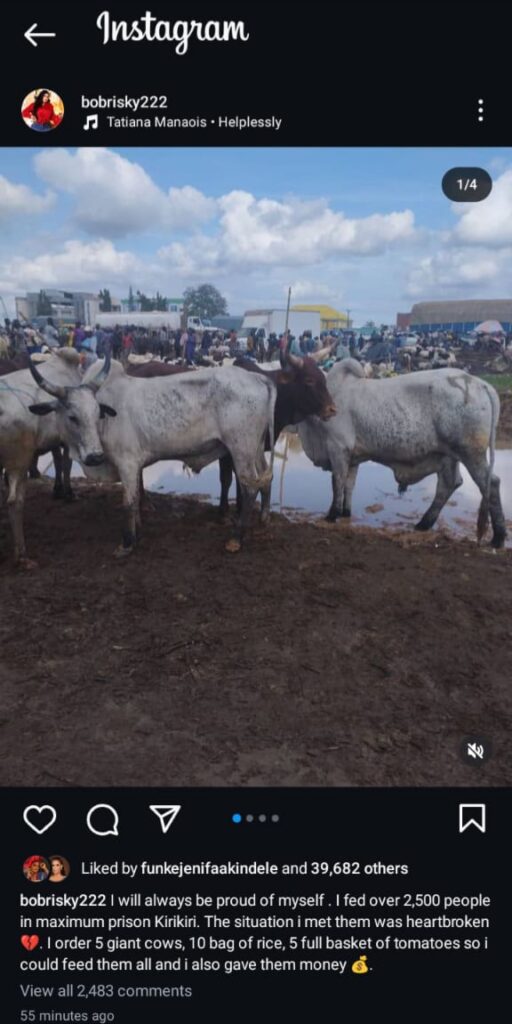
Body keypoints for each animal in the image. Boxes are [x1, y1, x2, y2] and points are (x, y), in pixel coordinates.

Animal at [0, 349, 113, 566]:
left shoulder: (54, 442)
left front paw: (58, 490)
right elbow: (66, 464)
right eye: (72, 417)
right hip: (19, 462)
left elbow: (59, 463)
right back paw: (22, 554)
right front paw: (67, 492)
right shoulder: (66, 442)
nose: (96, 457)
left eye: (97, 415)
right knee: (14, 502)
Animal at [49, 358, 277, 555]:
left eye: (97, 413)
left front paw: (127, 543)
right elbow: (136, 498)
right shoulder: (134, 464)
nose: (94, 456)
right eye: (72, 417)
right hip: (256, 448)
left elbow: (128, 502)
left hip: (241, 448)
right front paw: (138, 531)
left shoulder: (127, 462)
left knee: (250, 488)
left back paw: (236, 538)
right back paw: (263, 519)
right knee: (265, 478)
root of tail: (257, 378)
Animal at [218, 345, 337, 521]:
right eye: (309, 380)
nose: (332, 409)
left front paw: (248, 510)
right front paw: (223, 510)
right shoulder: (227, 450)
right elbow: (227, 479)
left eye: (323, 378)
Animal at [298, 358, 506, 548]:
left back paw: (498, 538)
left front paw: (331, 515)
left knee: (491, 484)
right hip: (449, 455)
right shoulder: (353, 457)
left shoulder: (338, 448)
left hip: (471, 453)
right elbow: (349, 485)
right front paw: (344, 513)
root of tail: (480, 384)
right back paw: (424, 523)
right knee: (449, 484)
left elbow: (337, 482)